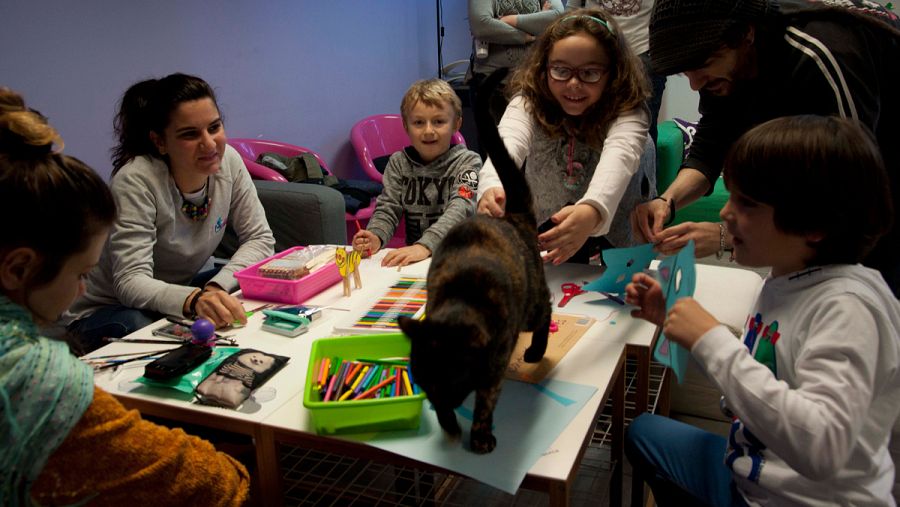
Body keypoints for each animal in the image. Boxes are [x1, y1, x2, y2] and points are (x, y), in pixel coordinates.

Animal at [400, 69, 552, 454]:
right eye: (424, 385)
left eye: (450, 382)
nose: (440, 403)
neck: (460, 300)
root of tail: (511, 216)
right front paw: (449, 426)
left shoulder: (495, 365)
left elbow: (486, 400)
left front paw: (480, 435)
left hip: (531, 307)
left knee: (547, 309)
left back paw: (536, 351)